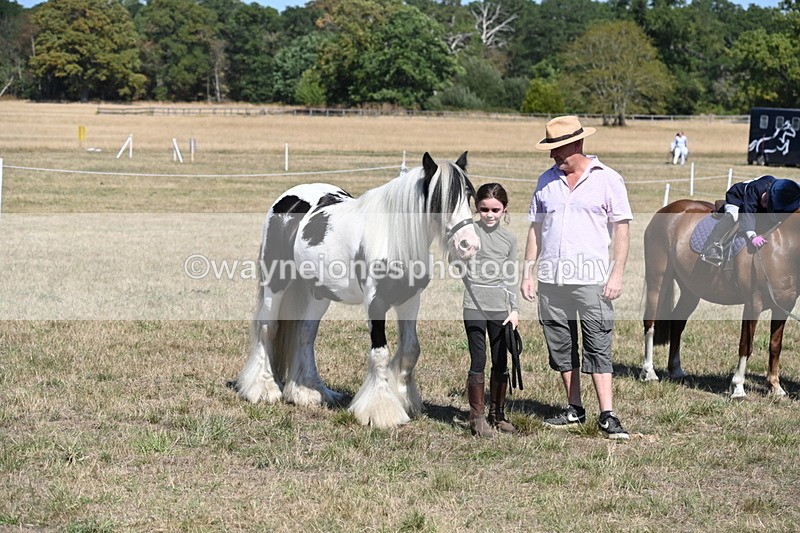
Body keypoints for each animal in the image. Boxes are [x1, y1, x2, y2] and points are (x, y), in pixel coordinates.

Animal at [234, 152, 481, 427]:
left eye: (469, 195)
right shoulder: (375, 302)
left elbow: (410, 350)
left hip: (319, 293)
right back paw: (263, 389)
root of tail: (288, 199)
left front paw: (404, 400)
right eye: (439, 198)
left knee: (306, 333)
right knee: (268, 327)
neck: (393, 237)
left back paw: (310, 391)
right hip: (275, 282)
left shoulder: (410, 301)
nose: (469, 245)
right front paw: (382, 411)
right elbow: (380, 353)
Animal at [641, 199, 799, 398]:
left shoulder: (783, 307)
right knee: (650, 323)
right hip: (658, 282)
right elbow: (746, 345)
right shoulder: (753, 304)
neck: (782, 245)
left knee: (677, 324)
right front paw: (738, 387)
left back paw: (676, 370)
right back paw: (649, 372)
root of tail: (666, 210)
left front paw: (776, 387)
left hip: (691, 291)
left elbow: (775, 345)